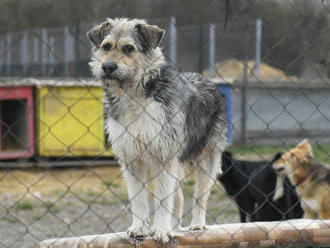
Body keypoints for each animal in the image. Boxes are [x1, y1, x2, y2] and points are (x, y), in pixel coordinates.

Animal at [87, 18, 227, 243]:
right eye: (106, 46)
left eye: (129, 48)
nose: (107, 66)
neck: (134, 94)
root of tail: (210, 82)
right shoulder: (132, 160)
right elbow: (139, 200)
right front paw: (140, 228)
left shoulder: (164, 157)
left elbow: (163, 199)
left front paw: (161, 230)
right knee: (178, 197)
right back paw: (175, 228)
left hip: (207, 161)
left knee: (200, 197)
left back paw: (196, 224)